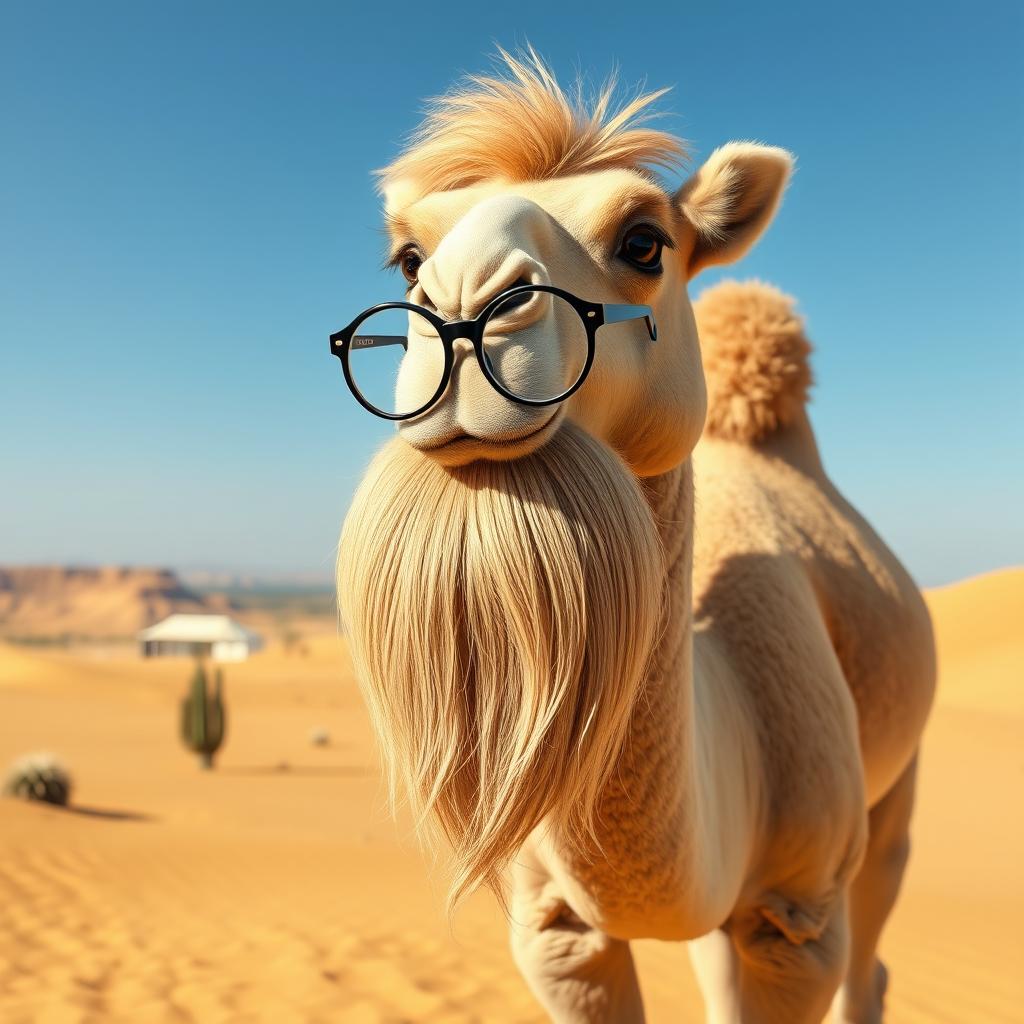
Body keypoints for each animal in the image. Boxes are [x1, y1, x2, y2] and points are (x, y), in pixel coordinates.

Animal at [336, 51, 935, 1023]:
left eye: (645, 241)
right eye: (410, 256)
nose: (460, 312)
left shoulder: (799, 917)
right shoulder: (557, 932)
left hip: (893, 793)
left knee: (873, 951)